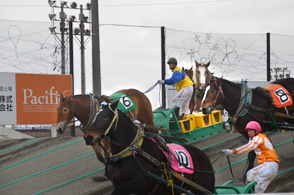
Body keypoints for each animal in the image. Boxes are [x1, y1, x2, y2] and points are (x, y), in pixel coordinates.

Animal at [84, 101, 215, 194]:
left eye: (105, 116)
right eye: (94, 116)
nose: (88, 137)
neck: (131, 153)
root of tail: (203, 154)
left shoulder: (136, 185)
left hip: (204, 188)